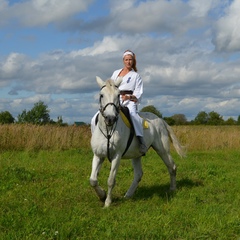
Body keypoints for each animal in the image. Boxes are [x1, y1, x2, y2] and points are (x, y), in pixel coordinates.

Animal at [89, 76, 185, 206]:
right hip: (136, 155)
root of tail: (160, 119)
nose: (110, 118)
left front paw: (108, 202)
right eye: (101, 95)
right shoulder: (98, 155)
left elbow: (111, 180)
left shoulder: (117, 156)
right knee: (138, 174)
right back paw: (128, 195)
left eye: (118, 95)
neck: (107, 130)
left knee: (172, 166)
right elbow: (93, 180)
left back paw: (172, 188)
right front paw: (102, 195)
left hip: (163, 150)